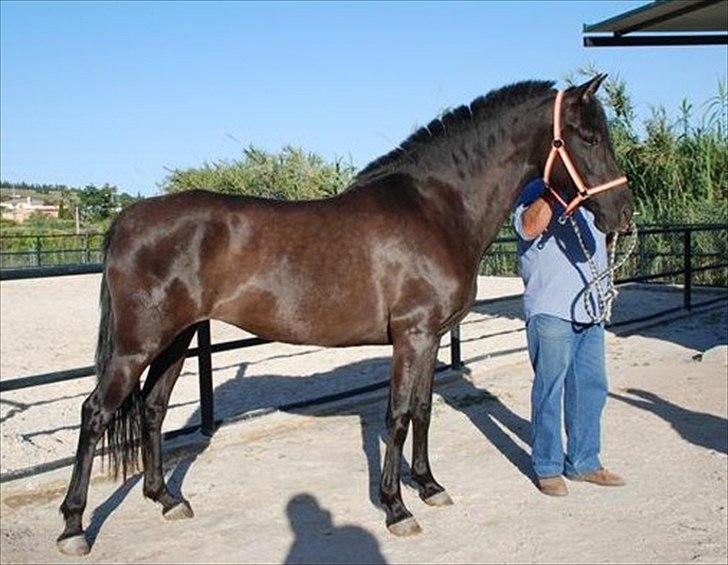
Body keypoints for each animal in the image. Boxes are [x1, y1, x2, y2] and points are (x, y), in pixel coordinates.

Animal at [59, 76, 636, 556]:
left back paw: (167, 500)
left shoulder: (430, 339)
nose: (623, 216)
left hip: (175, 341)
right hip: (136, 346)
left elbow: (422, 411)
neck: (436, 207)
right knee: (95, 414)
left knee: (152, 411)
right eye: (587, 137)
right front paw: (397, 509)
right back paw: (73, 527)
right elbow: (397, 417)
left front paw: (429, 487)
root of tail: (129, 218)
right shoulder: (412, 336)